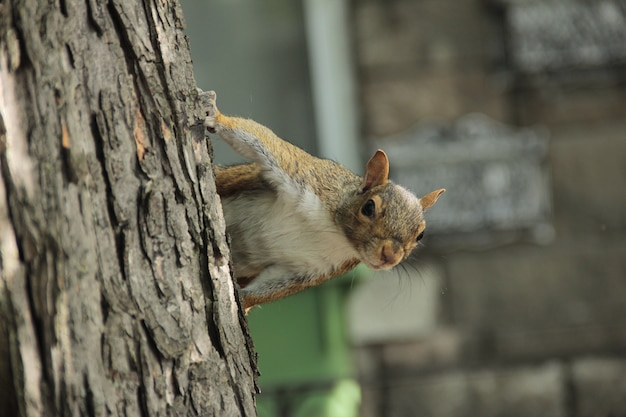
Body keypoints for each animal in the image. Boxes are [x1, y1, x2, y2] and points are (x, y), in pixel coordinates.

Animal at [202, 90, 442, 308]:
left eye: (420, 235)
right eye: (368, 208)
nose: (390, 256)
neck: (335, 232)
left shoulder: (314, 269)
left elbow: (273, 289)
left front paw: (242, 301)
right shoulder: (306, 175)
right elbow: (262, 140)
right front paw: (216, 116)